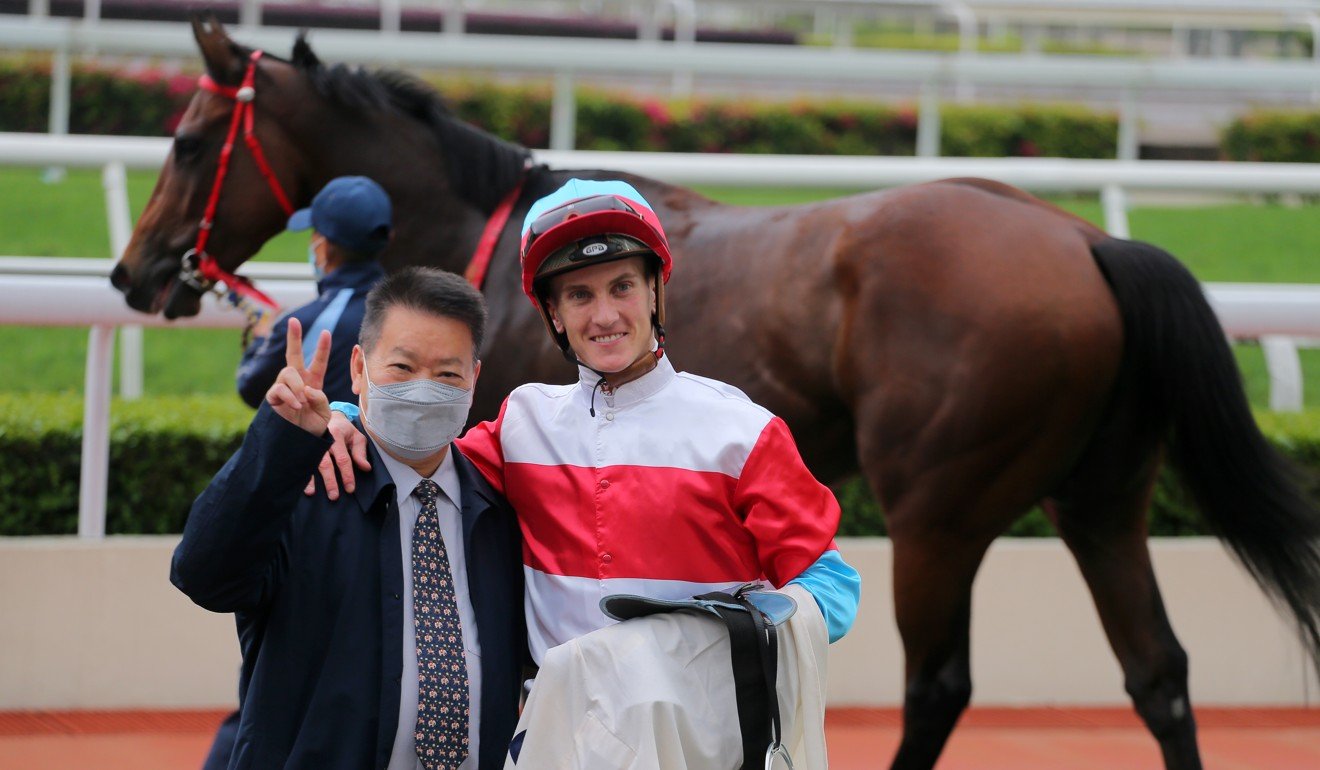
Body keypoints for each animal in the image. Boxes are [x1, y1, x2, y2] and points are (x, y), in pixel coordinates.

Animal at [110, 16, 1320, 770]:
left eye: (189, 138)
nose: (133, 271)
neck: (488, 241)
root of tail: (1087, 240)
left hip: (939, 505)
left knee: (939, 682)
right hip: (1103, 498)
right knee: (1159, 671)